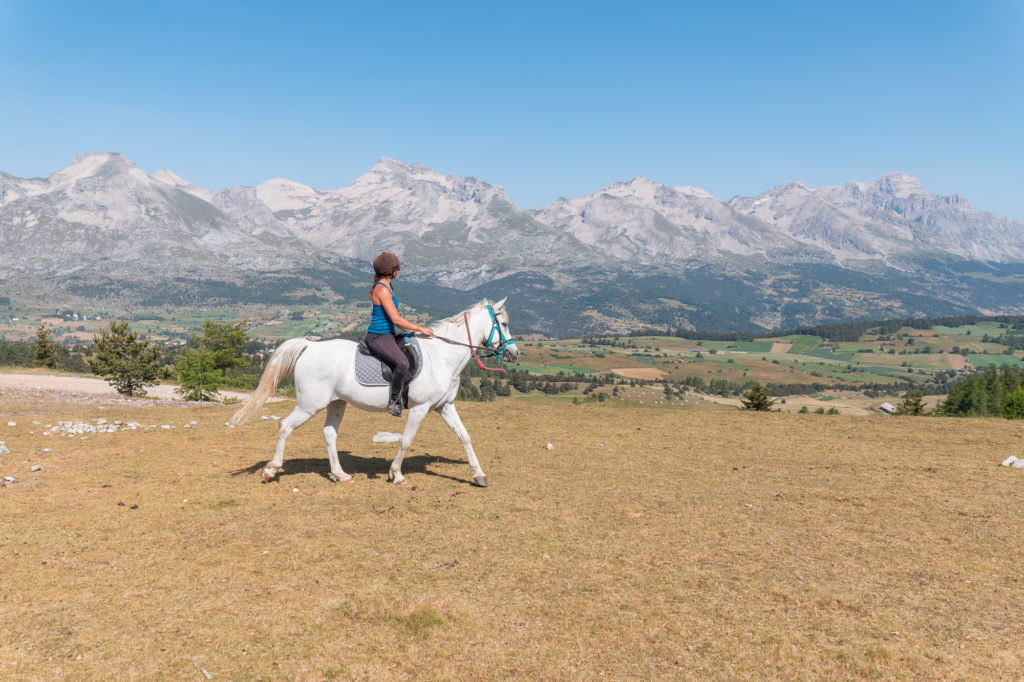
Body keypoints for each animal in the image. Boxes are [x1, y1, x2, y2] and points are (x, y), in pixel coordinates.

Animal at [231, 296, 520, 483]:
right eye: (504, 324)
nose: (515, 353)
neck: (442, 355)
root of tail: (310, 346)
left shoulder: (444, 406)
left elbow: (465, 436)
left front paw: (479, 475)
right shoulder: (421, 408)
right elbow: (407, 440)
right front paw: (396, 474)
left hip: (337, 403)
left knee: (329, 434)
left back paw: (340, 474)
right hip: (309, 404)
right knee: (284, 426)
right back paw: (271, 470)